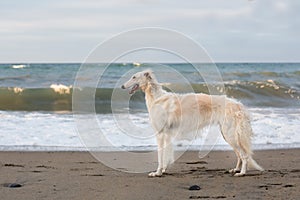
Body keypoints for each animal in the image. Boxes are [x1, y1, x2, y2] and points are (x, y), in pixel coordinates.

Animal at [120, 69, 264, 177]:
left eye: (134, 77)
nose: (121, 86)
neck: (157, 98)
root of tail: (238, 105)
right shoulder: (166, 134)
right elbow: (166, 154)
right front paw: (163, 170)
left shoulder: (160, 134)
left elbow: (161, 155)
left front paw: (157, 172)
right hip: (228, 134)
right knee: (239, 155)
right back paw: (236, 169)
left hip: (231, 134)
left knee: (244, 155)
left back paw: (242, 173)